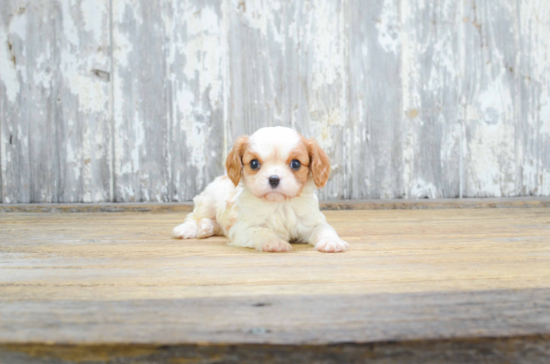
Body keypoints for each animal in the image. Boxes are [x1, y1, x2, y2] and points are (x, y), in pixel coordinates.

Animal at [174, 126, 350, 253]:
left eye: (296, 164)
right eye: (254, 163)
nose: (274, 178)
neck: (280, 205)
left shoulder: (312, 221)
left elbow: (325, 230)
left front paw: (332, 242)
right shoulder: (243, 228)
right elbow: (261, 231)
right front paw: (275, 242)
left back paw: (206, 227)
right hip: (208, 201)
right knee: (194, 217)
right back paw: (187, 229)